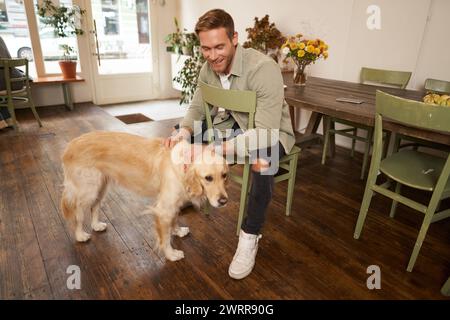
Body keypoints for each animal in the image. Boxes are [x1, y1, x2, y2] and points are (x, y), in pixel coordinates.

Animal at [60, 131, 229, 262]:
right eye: (208, 178)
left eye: (224, 175)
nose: (223, 201)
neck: (183, 165)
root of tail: (69, 146)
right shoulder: (164, 209)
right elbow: (165, 238)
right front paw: (171, 254)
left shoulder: (172, 204)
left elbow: (174, 219)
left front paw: (178, 231)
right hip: (88, 190)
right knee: (78, 214)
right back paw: (80, 235)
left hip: (100, 187)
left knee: (94, 206)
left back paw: (96, 225)